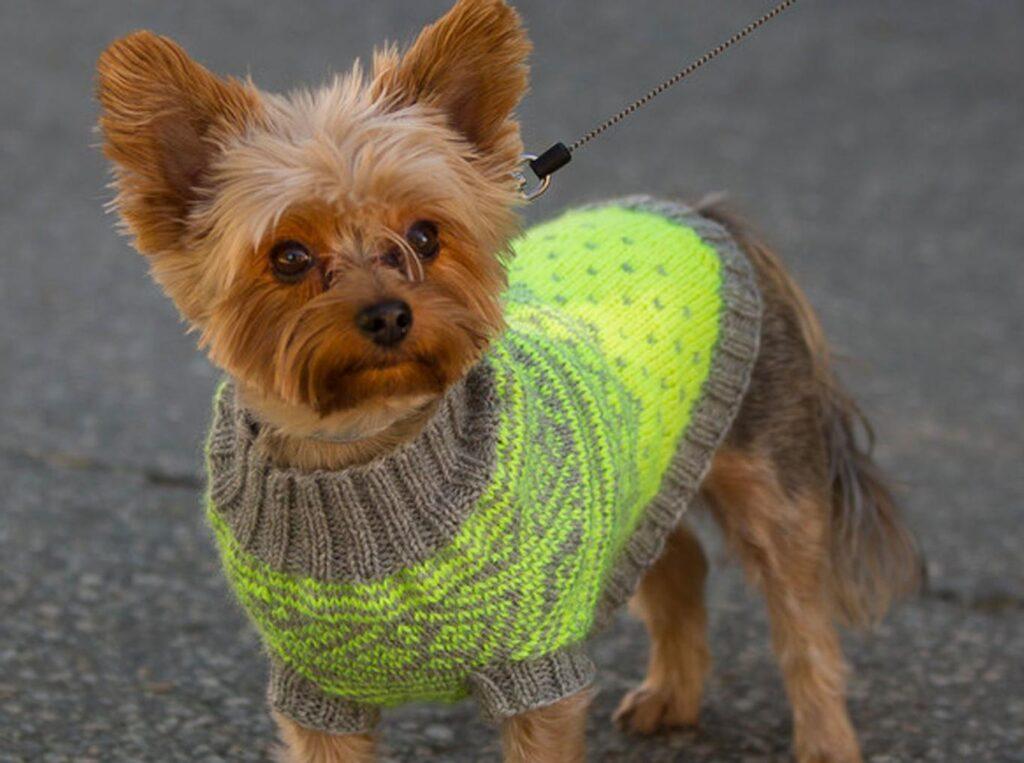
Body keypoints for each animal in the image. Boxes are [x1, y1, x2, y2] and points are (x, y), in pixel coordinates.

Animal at [97, 1, 921, 761]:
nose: (389, 315)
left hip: (769, 483)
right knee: (678, 557)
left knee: (801, 619)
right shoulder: (317, 696)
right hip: (640, 468)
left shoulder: (537, 674)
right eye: (289, 256)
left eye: (426, 234)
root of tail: (700, 212)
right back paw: (673, 694)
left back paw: (823, 739)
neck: (363, 451)